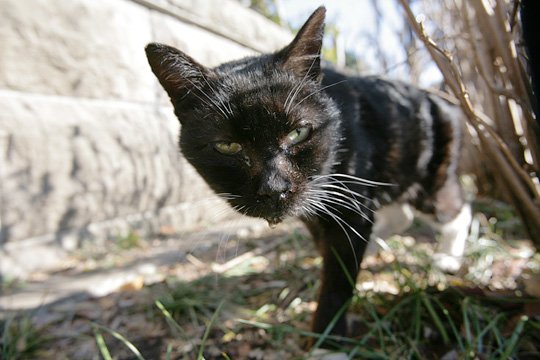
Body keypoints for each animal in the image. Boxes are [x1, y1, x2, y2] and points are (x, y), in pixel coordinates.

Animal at [146, 6, 470, 346]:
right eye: (228, 146)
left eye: (298, 133)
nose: (274, 187)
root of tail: (436, 98)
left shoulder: (347, 203)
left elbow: (338, 278)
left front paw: (328, 340)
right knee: (401, 215)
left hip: (431, 177)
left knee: (455, 208)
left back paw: (447, 257)